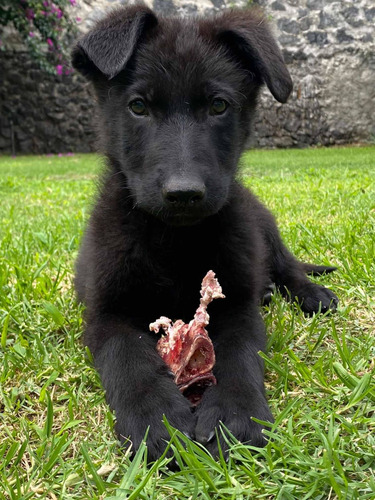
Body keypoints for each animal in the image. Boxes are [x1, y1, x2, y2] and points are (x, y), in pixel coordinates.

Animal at [71, 2, 338, 460]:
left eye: (218, 106)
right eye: (138, 106)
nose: (184, 193)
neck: (173, 240)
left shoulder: (237, 306)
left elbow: (239, 353)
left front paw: (235, 412)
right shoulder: (107, 312)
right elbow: (128, 357)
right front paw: (155, 417)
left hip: (261, 223)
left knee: (288, 266)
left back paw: (309, 293)